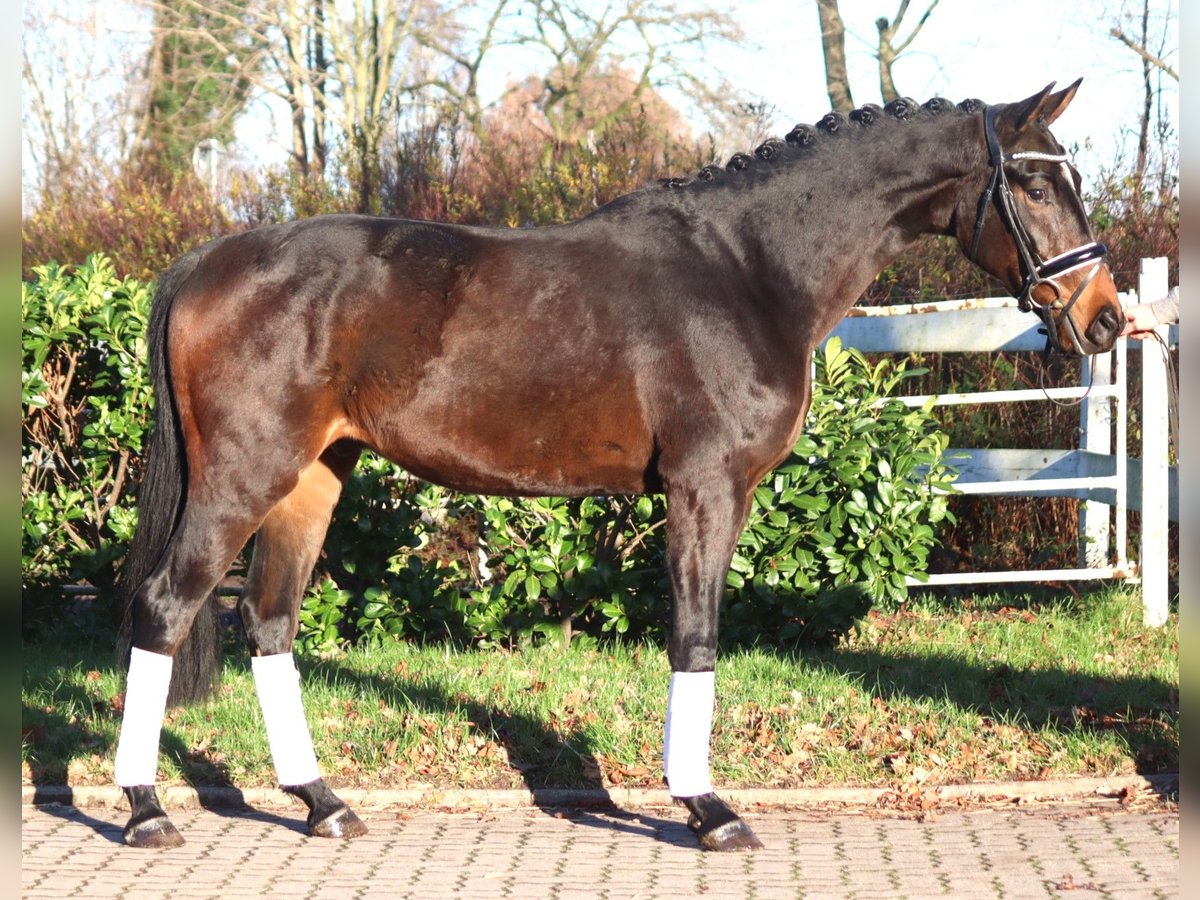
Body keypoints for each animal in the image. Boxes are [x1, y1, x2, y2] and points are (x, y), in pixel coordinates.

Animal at [114, 79, 1123, 854]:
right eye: (1034, 182)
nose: (1107, 317)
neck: (748, 269)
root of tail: (210, 260)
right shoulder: (706, 487)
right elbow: (696, 635)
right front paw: (708, 810)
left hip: (315, 476)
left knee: (269, 622)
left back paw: (323, 804)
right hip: (245, 478)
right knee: (165, 607)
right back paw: (146, 810)